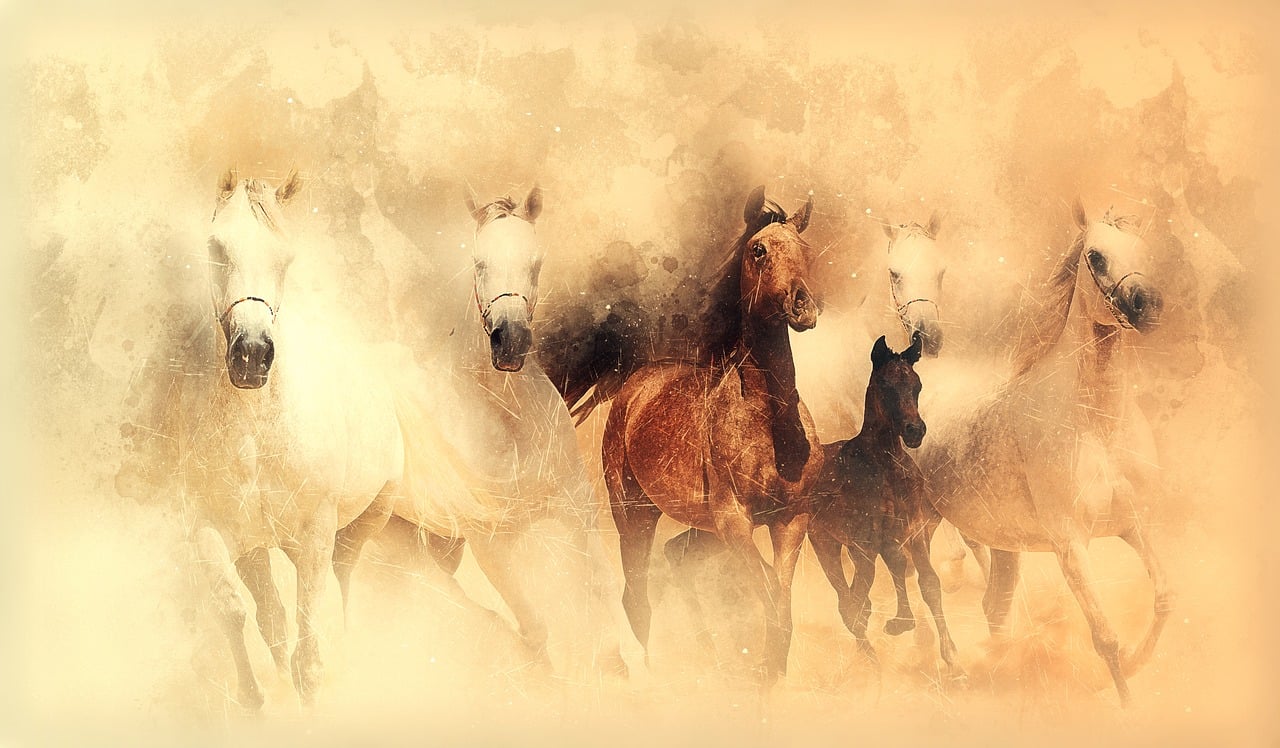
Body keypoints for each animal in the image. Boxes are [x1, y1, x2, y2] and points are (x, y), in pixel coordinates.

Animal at [185, 169, 403, 708]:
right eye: (216, 246)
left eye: (286, 259)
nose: (251, 354)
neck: (259, 438)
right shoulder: (218, 532)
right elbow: (242, 612)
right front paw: (255, 698)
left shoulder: (315, 534)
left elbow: (309, 646)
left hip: (359, 526)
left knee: (344, 588)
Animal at [602, 186, 822, 682]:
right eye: (759, 250)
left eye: (805, 248)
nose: (804, 307)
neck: (771, 427)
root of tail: (635, 386)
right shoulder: (734, 519)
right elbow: (768, 595)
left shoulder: (790, 520)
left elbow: (781, 607)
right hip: (634, 514)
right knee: (636, 595)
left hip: (701, 529)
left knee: (676, 559)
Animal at [806, 333, 963, 678]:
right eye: (885, 385)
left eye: (917, 385)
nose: (915, 431)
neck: (886, 468)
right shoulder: (868, 539)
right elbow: (859, 599)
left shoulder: (913, 530)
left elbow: (928, 583)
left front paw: (952, 658)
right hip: (826, 543)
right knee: (848, 602)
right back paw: (871, 660)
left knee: (869, 588)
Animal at [919, 200, 1171, 705]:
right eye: (1095, 255)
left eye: (1142, 247)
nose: (1148, 306)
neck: (1096, 423)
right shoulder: (1070, 546)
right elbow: (1105, 637)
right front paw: (1123, 700)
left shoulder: (1133, 524)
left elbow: (1163, 600)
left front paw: (1134, 668)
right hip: (916, 524)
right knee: (924, 587)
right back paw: (955, 666)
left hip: (999, 541)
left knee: (993, 604)